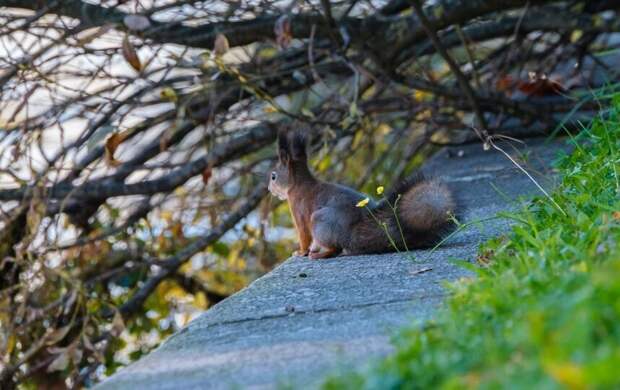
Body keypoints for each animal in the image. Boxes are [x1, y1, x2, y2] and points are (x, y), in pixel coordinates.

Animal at [268, 128, 458, 260]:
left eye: (273, 176)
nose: (269, 189)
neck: (298, 185)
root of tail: (351, 236)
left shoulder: (298, 210)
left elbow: (304, 235)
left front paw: (301, 252)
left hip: (319, 221)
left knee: (335, 249)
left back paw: (319, 255)